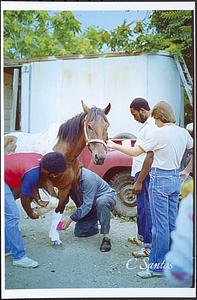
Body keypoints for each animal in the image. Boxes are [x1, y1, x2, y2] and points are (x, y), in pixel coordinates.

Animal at [39, 101, 111, 244]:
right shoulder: (46, 182)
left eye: (107, 126)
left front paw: (54, 236)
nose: (100, 157)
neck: (63, 155)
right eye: (89, 126)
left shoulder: (65, 186)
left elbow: (59, 207)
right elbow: (54, 203)